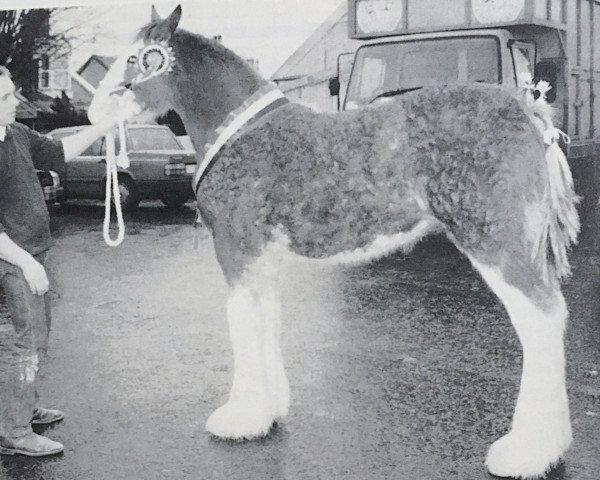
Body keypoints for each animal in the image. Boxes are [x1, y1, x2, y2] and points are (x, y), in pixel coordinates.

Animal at [90, 4, 580, 480]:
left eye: (136, 59)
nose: (93, 110)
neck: (242, 134)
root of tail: (527, 113)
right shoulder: (263, 260)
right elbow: (265, 321)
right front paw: (269, 410)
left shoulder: (236, 251)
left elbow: (242, 324)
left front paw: (240, 417)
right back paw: (550, 447)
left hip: (497, 246)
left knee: (541, 322)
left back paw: (527, 453)